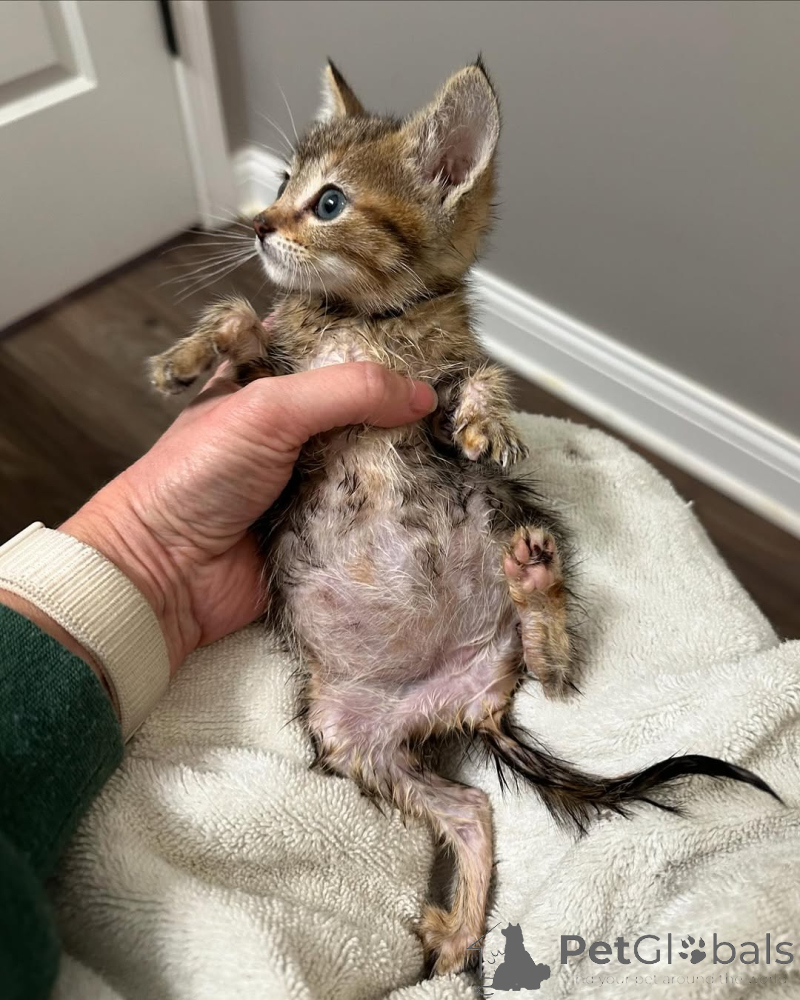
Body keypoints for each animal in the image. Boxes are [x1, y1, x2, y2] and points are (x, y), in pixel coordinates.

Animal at [149, 59, 778, 976]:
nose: (257, 226)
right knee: (471, 811)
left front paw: (491, 422)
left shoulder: (435, 391)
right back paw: (457, 936)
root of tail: (458, 701)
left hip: (490, 632)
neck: (361, 322)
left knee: (556, 680)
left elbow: (479, 379)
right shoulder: (286, 403)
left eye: (327, 202)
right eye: (280, 182)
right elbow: (241, 323)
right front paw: (190, 354)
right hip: (348, 730)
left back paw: (538, 584)